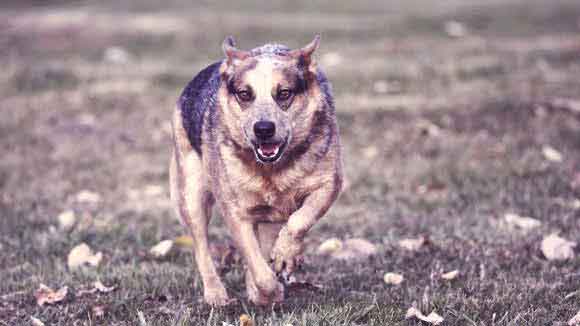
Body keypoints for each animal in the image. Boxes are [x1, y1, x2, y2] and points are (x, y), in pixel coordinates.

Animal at [168, 35, 342, 306]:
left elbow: (300, 220)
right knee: (201, 246)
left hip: (269, 215)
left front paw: (285, 255)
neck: (271, 171)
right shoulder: (236, 212)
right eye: (244, 94)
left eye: (284, 93)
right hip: (191, 192)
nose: (263, 128)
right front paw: (269, 291)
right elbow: (258, 267)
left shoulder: (329, 183)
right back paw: (215, 293)